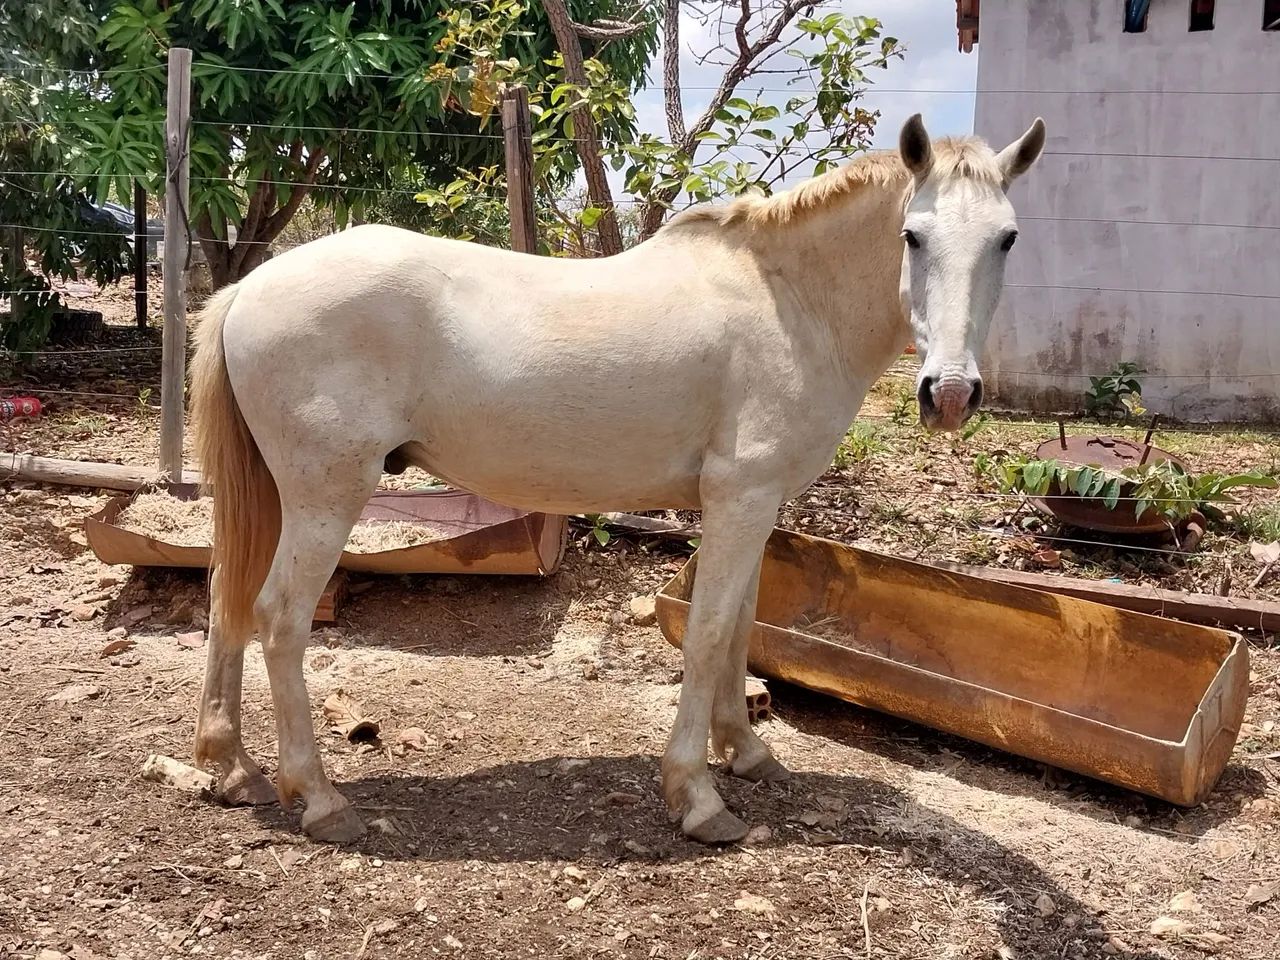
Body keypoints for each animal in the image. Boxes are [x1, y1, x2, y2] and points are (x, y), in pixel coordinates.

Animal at [189, 113, 1046, 844]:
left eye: (1008, 238)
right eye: (913, 235)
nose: (951, 394)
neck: (789, 303)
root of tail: (248, 288)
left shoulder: (755, 505)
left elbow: (742, 628)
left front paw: (747, 752)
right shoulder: (740, 499)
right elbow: (708, 634)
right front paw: (698, 796)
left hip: (277, 497)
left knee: (228, 597)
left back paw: (233, 768)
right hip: (326, 498)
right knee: (279, 619)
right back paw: (320, 797)